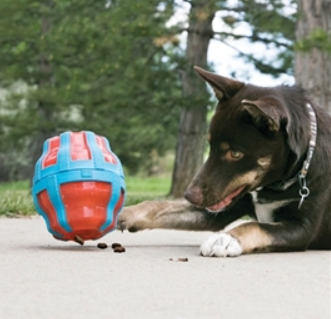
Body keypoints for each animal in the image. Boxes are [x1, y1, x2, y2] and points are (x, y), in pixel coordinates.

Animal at [118, 65, 331, 258]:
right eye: (210, 145)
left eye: (235, 154)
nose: (190, 196)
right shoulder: (225, 205)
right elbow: (158, 206)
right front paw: (122, 213)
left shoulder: (303, 228)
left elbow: (254, 226)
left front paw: (225, 239)